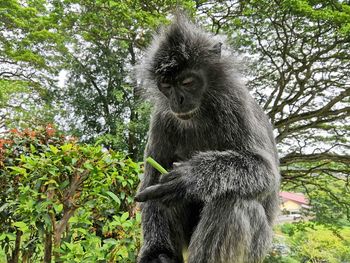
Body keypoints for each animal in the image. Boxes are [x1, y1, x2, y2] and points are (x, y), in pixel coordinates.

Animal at [134, 14, 282, 263]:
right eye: (166, 85)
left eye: (187, 82)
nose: (178, 100)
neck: (199, 112)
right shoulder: (162, 117)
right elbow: (152, 180)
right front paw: (155, 253)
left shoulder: (235, 103)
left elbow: (266, 172)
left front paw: (191, 177)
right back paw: (164, 255)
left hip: (257, 248)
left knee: (232, 201)